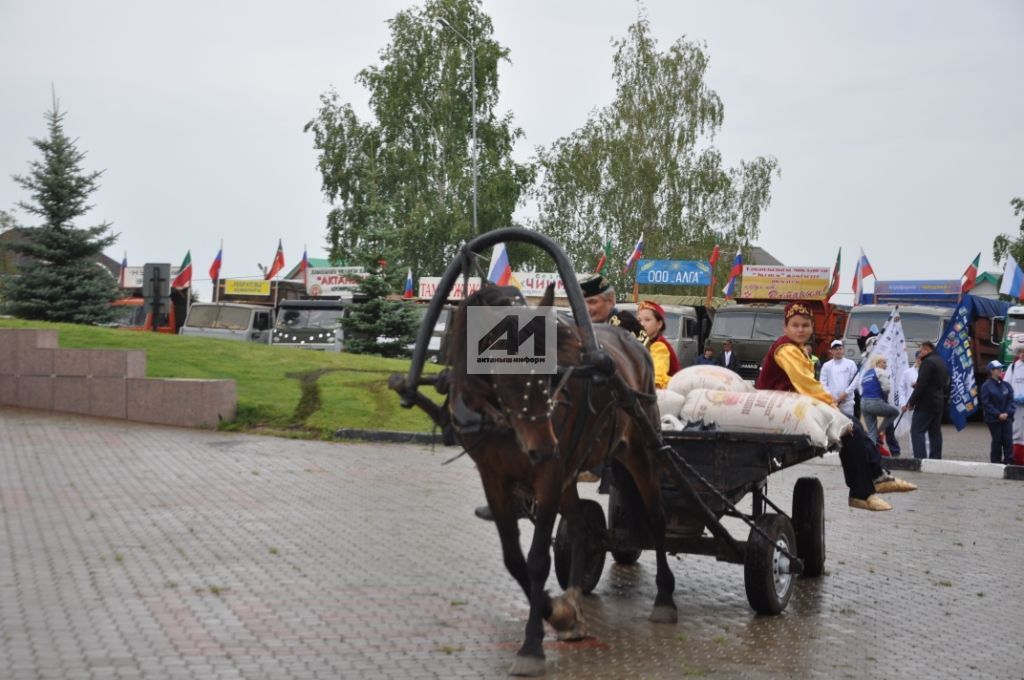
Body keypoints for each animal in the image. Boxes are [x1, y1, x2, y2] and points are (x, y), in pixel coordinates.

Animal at [446, 280, 671, 675]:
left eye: (550, 370)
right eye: (503, 372)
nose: (543, 447)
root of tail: (636, 346)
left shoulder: (549, 475)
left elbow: (537, 560)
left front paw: (532, 644)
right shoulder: (495, 477)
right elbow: (514, 559)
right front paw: (560, 613)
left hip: (639, 449)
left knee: (657, 518)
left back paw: (664, 597)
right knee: (580, 526)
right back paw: (575, 598)